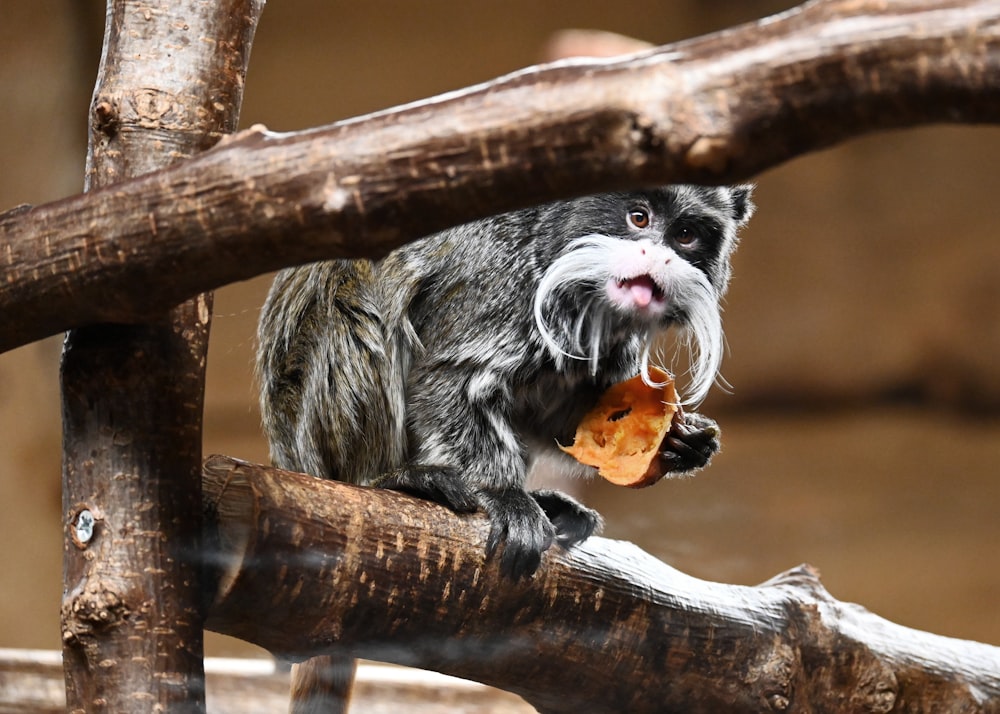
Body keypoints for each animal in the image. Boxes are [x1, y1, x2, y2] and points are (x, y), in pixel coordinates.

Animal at [254, 185, 752, 580]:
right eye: (639, 218)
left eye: (685, 235)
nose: (658, 256)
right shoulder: (496, 284)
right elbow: (450, 381)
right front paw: (502, 495)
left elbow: (567, 422)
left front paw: (682, 443)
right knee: (359, 307)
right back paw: (395, 480)